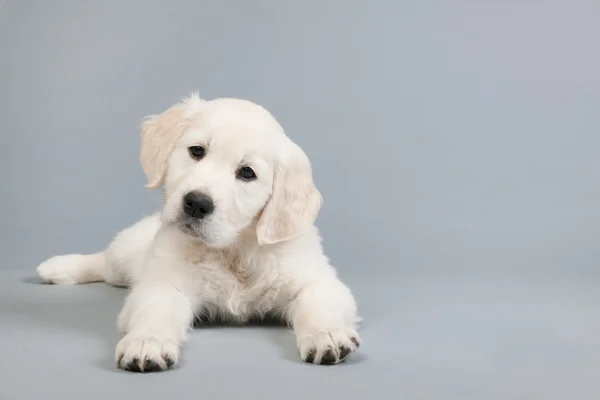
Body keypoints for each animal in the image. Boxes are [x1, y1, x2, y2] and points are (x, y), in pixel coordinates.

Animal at [37, 94, 360, 372]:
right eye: (197, 151)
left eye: (247, 173)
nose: (196, 203)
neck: (233, 250)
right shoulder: (164, 283)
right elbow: (156, 311)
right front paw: (147, 342)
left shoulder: (317, 281)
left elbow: (317, 304)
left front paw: (327, 335)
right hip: (126, 254)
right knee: (103, 261)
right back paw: (57, 267)